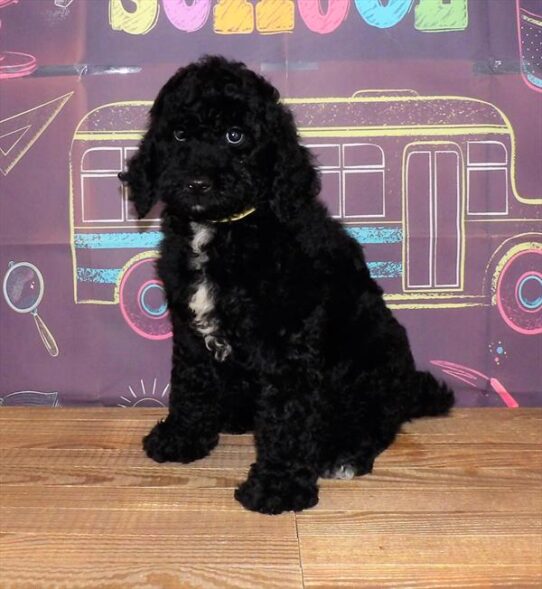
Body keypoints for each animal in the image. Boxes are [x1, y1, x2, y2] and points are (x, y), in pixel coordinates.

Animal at [121, 56, 456, 516]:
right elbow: (190, 383)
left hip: (373, 359)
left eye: (236, 135)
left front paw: (277, 487)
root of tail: (409, 388)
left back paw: (344, 453)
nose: (197, 183)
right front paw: (182, 437)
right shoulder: (188, 328)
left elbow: (287, 416)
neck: (225, 229)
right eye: (179, 134)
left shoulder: (287, 342)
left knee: (375, 419)